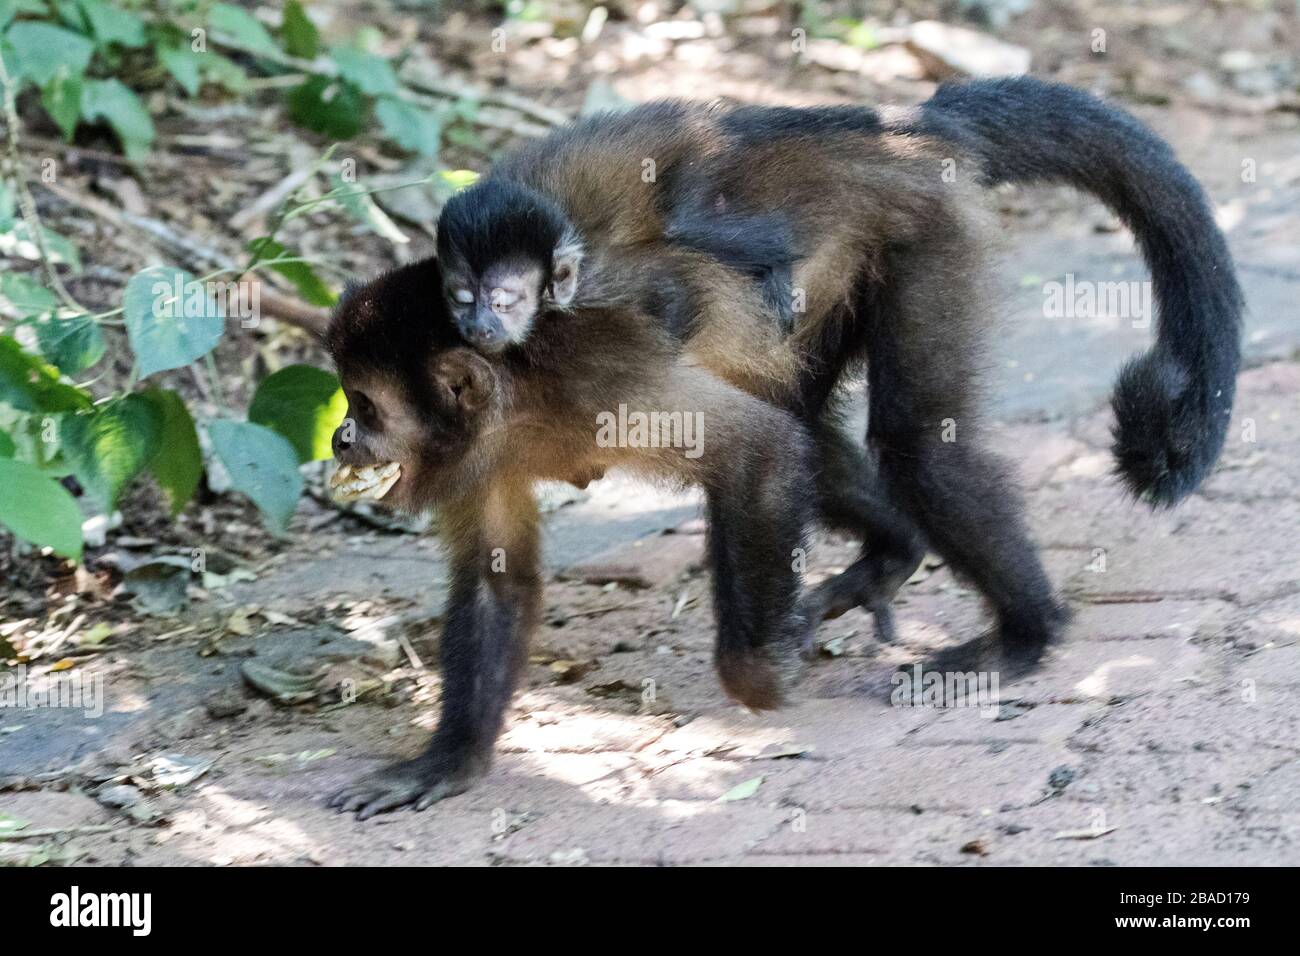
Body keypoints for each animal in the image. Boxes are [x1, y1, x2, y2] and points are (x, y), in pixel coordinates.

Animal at [322, 78, 1237, 816]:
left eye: (365, 405)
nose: (338, 436)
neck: (514, 398)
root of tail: (904, 130)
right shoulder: (483, 455)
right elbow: (496, 581)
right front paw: (446, 763)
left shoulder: (596, 378)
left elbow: (754, 451)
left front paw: (761, 670)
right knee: (808, 418)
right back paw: (894, 552)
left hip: (925, 227)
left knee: (912, 443)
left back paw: (1028, 633)